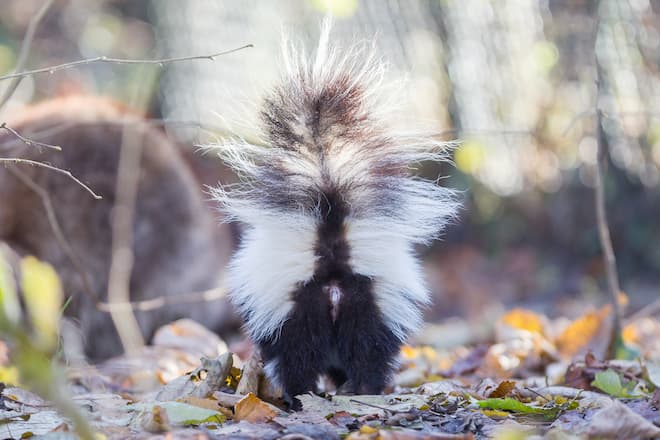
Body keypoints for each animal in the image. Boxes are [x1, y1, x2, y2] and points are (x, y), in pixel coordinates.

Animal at [214, 23, 462, 410]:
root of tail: (331, 263)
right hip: (371, 306)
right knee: (368, 353)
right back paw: (363, 390)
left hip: (297, 310)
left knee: (297, 358)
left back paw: (299, 395)